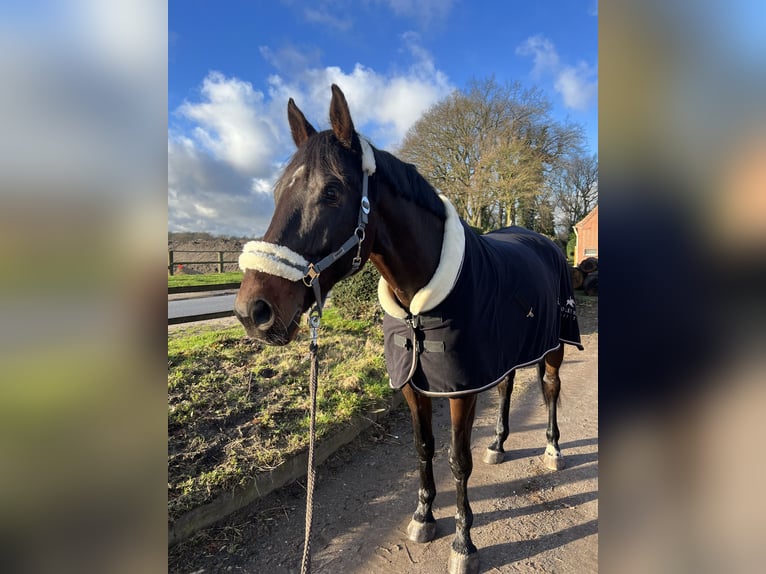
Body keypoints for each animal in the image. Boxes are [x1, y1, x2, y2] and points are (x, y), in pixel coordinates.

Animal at [234, 85, 584, 574]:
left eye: (332, 191)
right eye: (277, 191)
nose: (253, 311)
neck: (420, 300)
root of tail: (545, 242)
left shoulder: (460, 389)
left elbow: (459, 460)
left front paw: (463, 543)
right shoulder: (412, 386)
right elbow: (423, 448)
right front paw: (423, 516)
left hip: (554, 347)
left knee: (550, 389)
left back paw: (553, 450)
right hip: (507, 354)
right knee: (507, 387)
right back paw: (498, 443)